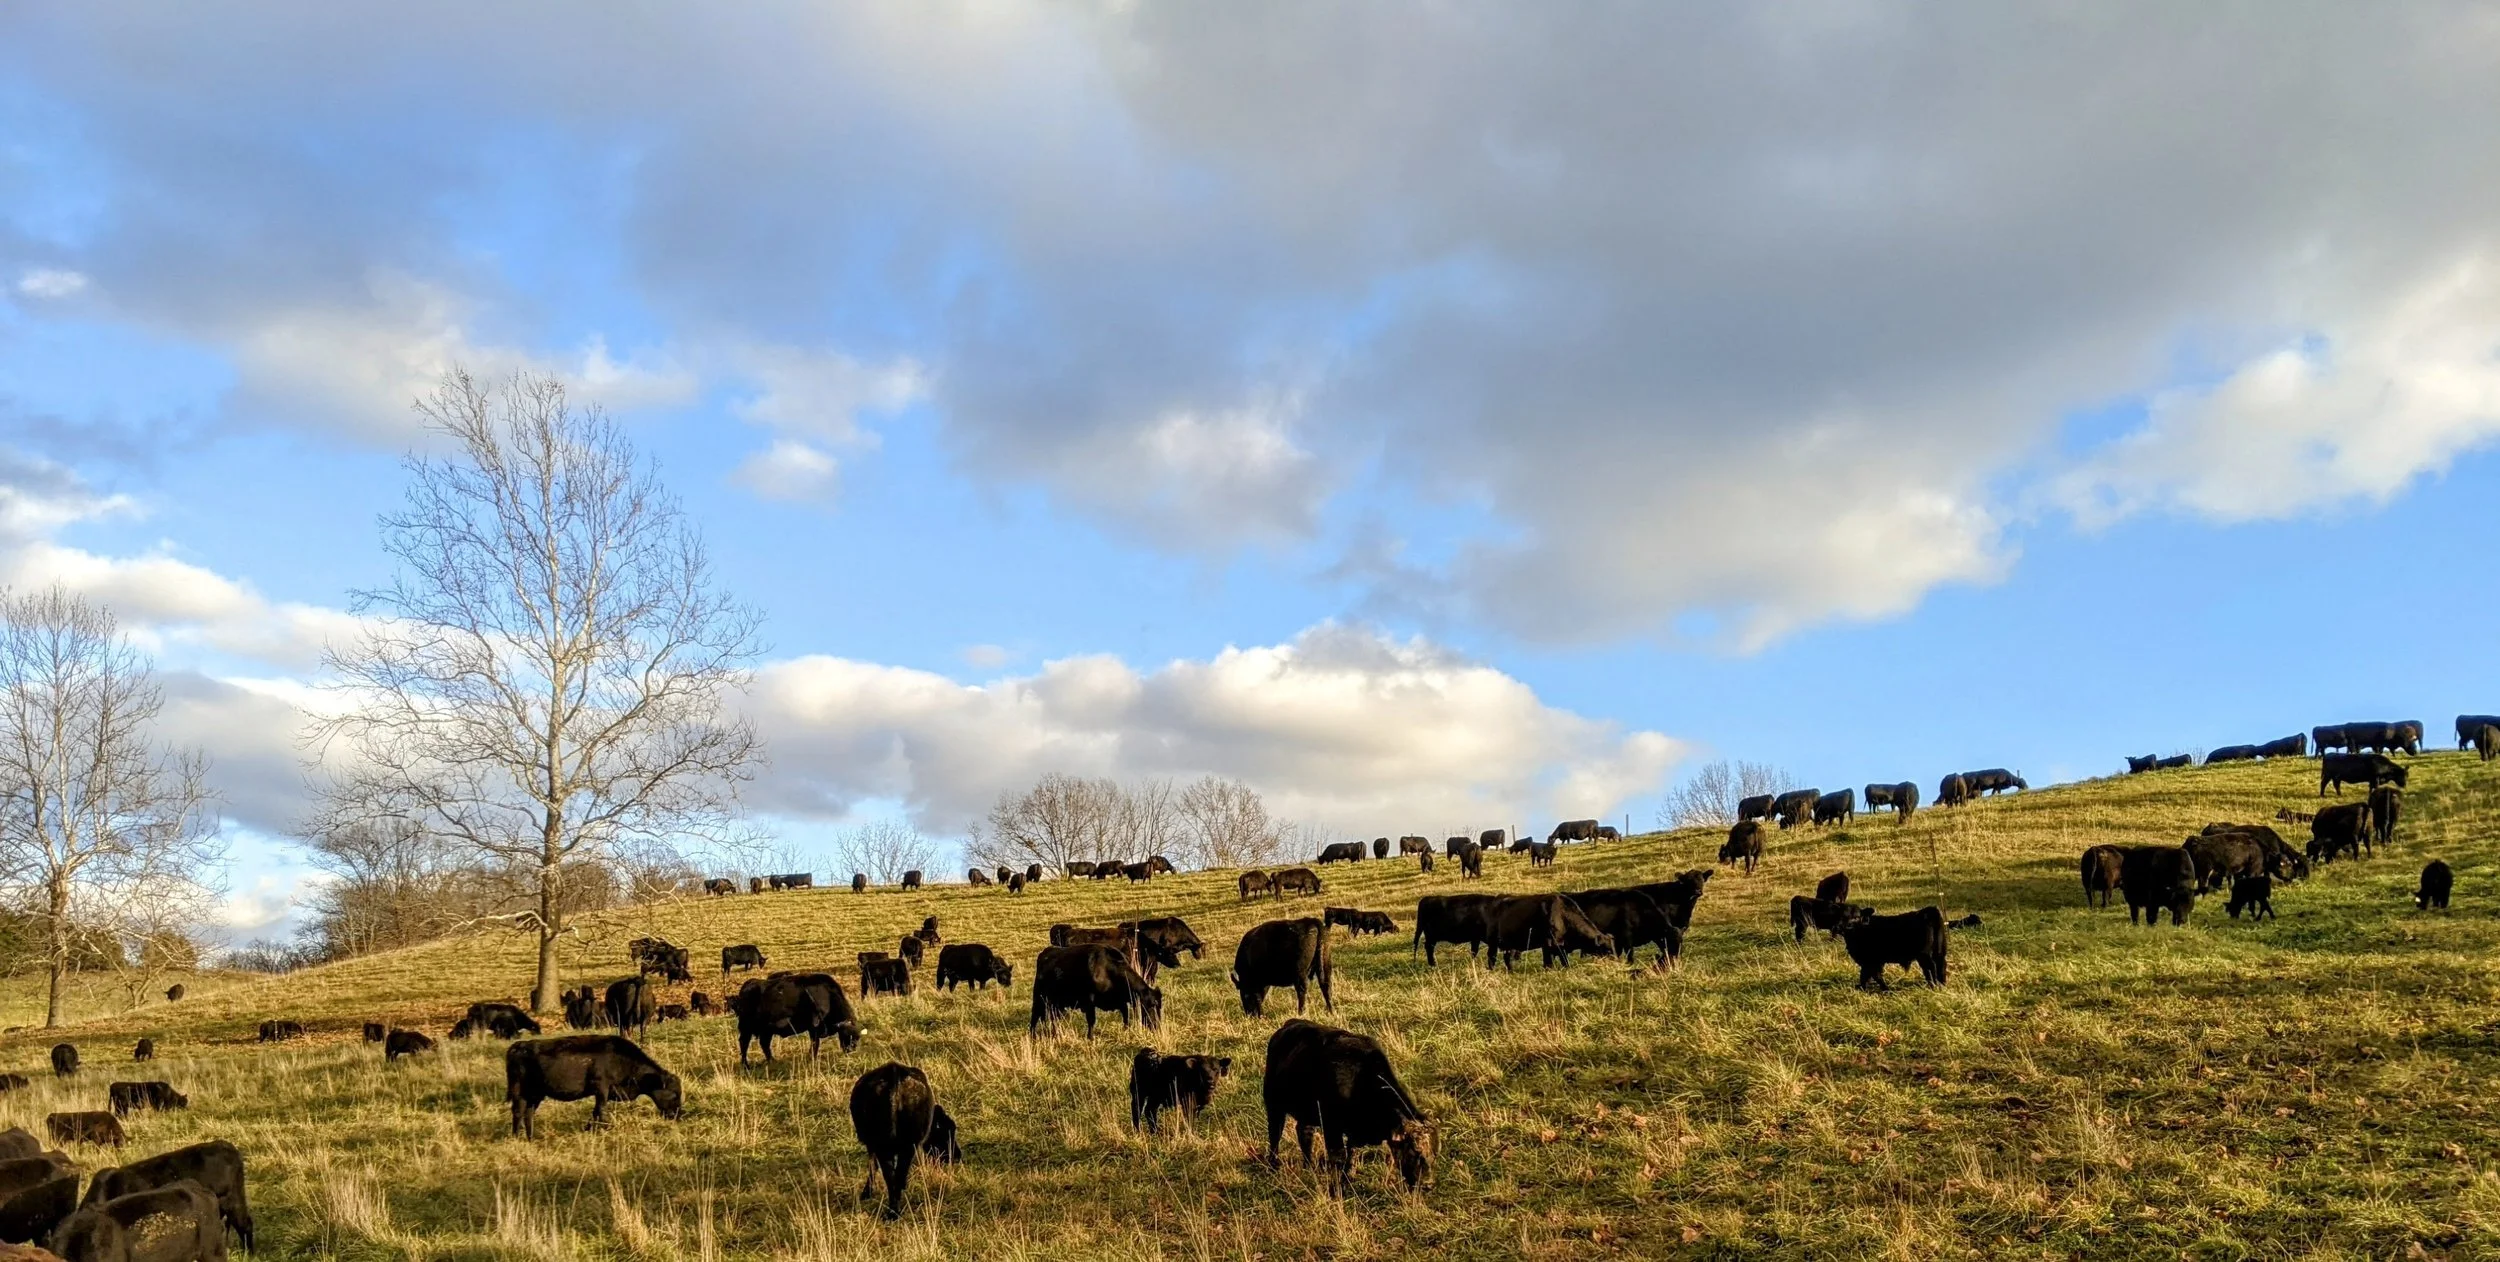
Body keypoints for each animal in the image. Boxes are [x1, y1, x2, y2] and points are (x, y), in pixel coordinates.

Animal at [506, 1036, 681, 1138]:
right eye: (674, 1094)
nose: (678, 1114)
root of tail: (519, 1046)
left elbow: (595, 1112)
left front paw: (589, 1128)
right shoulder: (602, 1088)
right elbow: (601, 1110)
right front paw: (606, 1128)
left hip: (535, 1095)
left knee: (528, 1113)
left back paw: (531, 1138)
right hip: (521, 1092)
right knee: (518, 1112)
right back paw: (517, 1137)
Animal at [732, 972, 860, 1061]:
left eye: (857, 1037)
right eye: (847, 1035)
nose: (851, 1049)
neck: (827, 995)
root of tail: (748, 985)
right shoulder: (814, 1027)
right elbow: (815, 1044)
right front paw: (812, 1057)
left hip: (766, 1031)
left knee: (764, 1044)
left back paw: (772, 1060)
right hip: (746, 1029)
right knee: (744, 1044)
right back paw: (745, 1065)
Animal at [848, 1062, 957, 1220]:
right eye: (946, 1131)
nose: (956, 1156)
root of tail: (894, 1077)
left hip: (888, 1147)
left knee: (892, 1177)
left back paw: (893, 1212)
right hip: (903, 1146)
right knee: (895, 1176)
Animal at [1029, 944, 1161, 1037]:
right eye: (1151, 1005)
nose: (1156, 1027)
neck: (1107, 970)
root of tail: (1045, 953)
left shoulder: (1120, 1000)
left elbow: (1125, 1015)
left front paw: (1126, 1029)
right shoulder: (1089, 1001)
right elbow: (1091, 1020)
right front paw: (1090, 1037)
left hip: (1056, 1004)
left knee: (1053, 1018)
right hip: (1039, 998)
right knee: (1035, 1017)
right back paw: (1033, 1036)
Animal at [1262, 1019, 1434, 1196]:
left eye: (1434, 1152)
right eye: (1413, 1152)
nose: (1428, 1184)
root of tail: (1286, 1027)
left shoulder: (1354, 1133)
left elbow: (1351, 1157)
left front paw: (1346, 1182)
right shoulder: (1332, 1128)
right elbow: (1338, 1158)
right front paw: (1336, 1190)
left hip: (1307, 1112)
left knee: (1304, 1133)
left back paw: (1309, 1166)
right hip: (1273, 1105)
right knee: (1275, 1134)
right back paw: (1273, 1165)